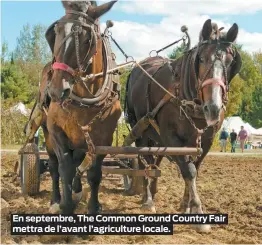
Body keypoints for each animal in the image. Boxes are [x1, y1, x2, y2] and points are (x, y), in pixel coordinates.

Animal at [39, 0, 122, 214]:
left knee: (78, 162)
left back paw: (77, 191)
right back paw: (55, 200)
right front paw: (66, 206)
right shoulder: (57, 132)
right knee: (54, 166)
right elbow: (64, 169)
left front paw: (93, 207)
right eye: (56, 31)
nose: (56, 90)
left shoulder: (103, 138)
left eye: (86, 39)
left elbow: (94, 173)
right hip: (47, 131)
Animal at [125, 19, 242, 232]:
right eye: (201, 59)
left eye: (230, 62)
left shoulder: (206, 140)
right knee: (144, 160)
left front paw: (185, 205)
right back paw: (148, 199)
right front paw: (197, 210)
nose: (213, 108)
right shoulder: (171, 137)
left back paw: (152, 191)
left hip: (156, 137)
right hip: (141, 130)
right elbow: (189, 171)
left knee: (155, 162)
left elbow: (193, 167)